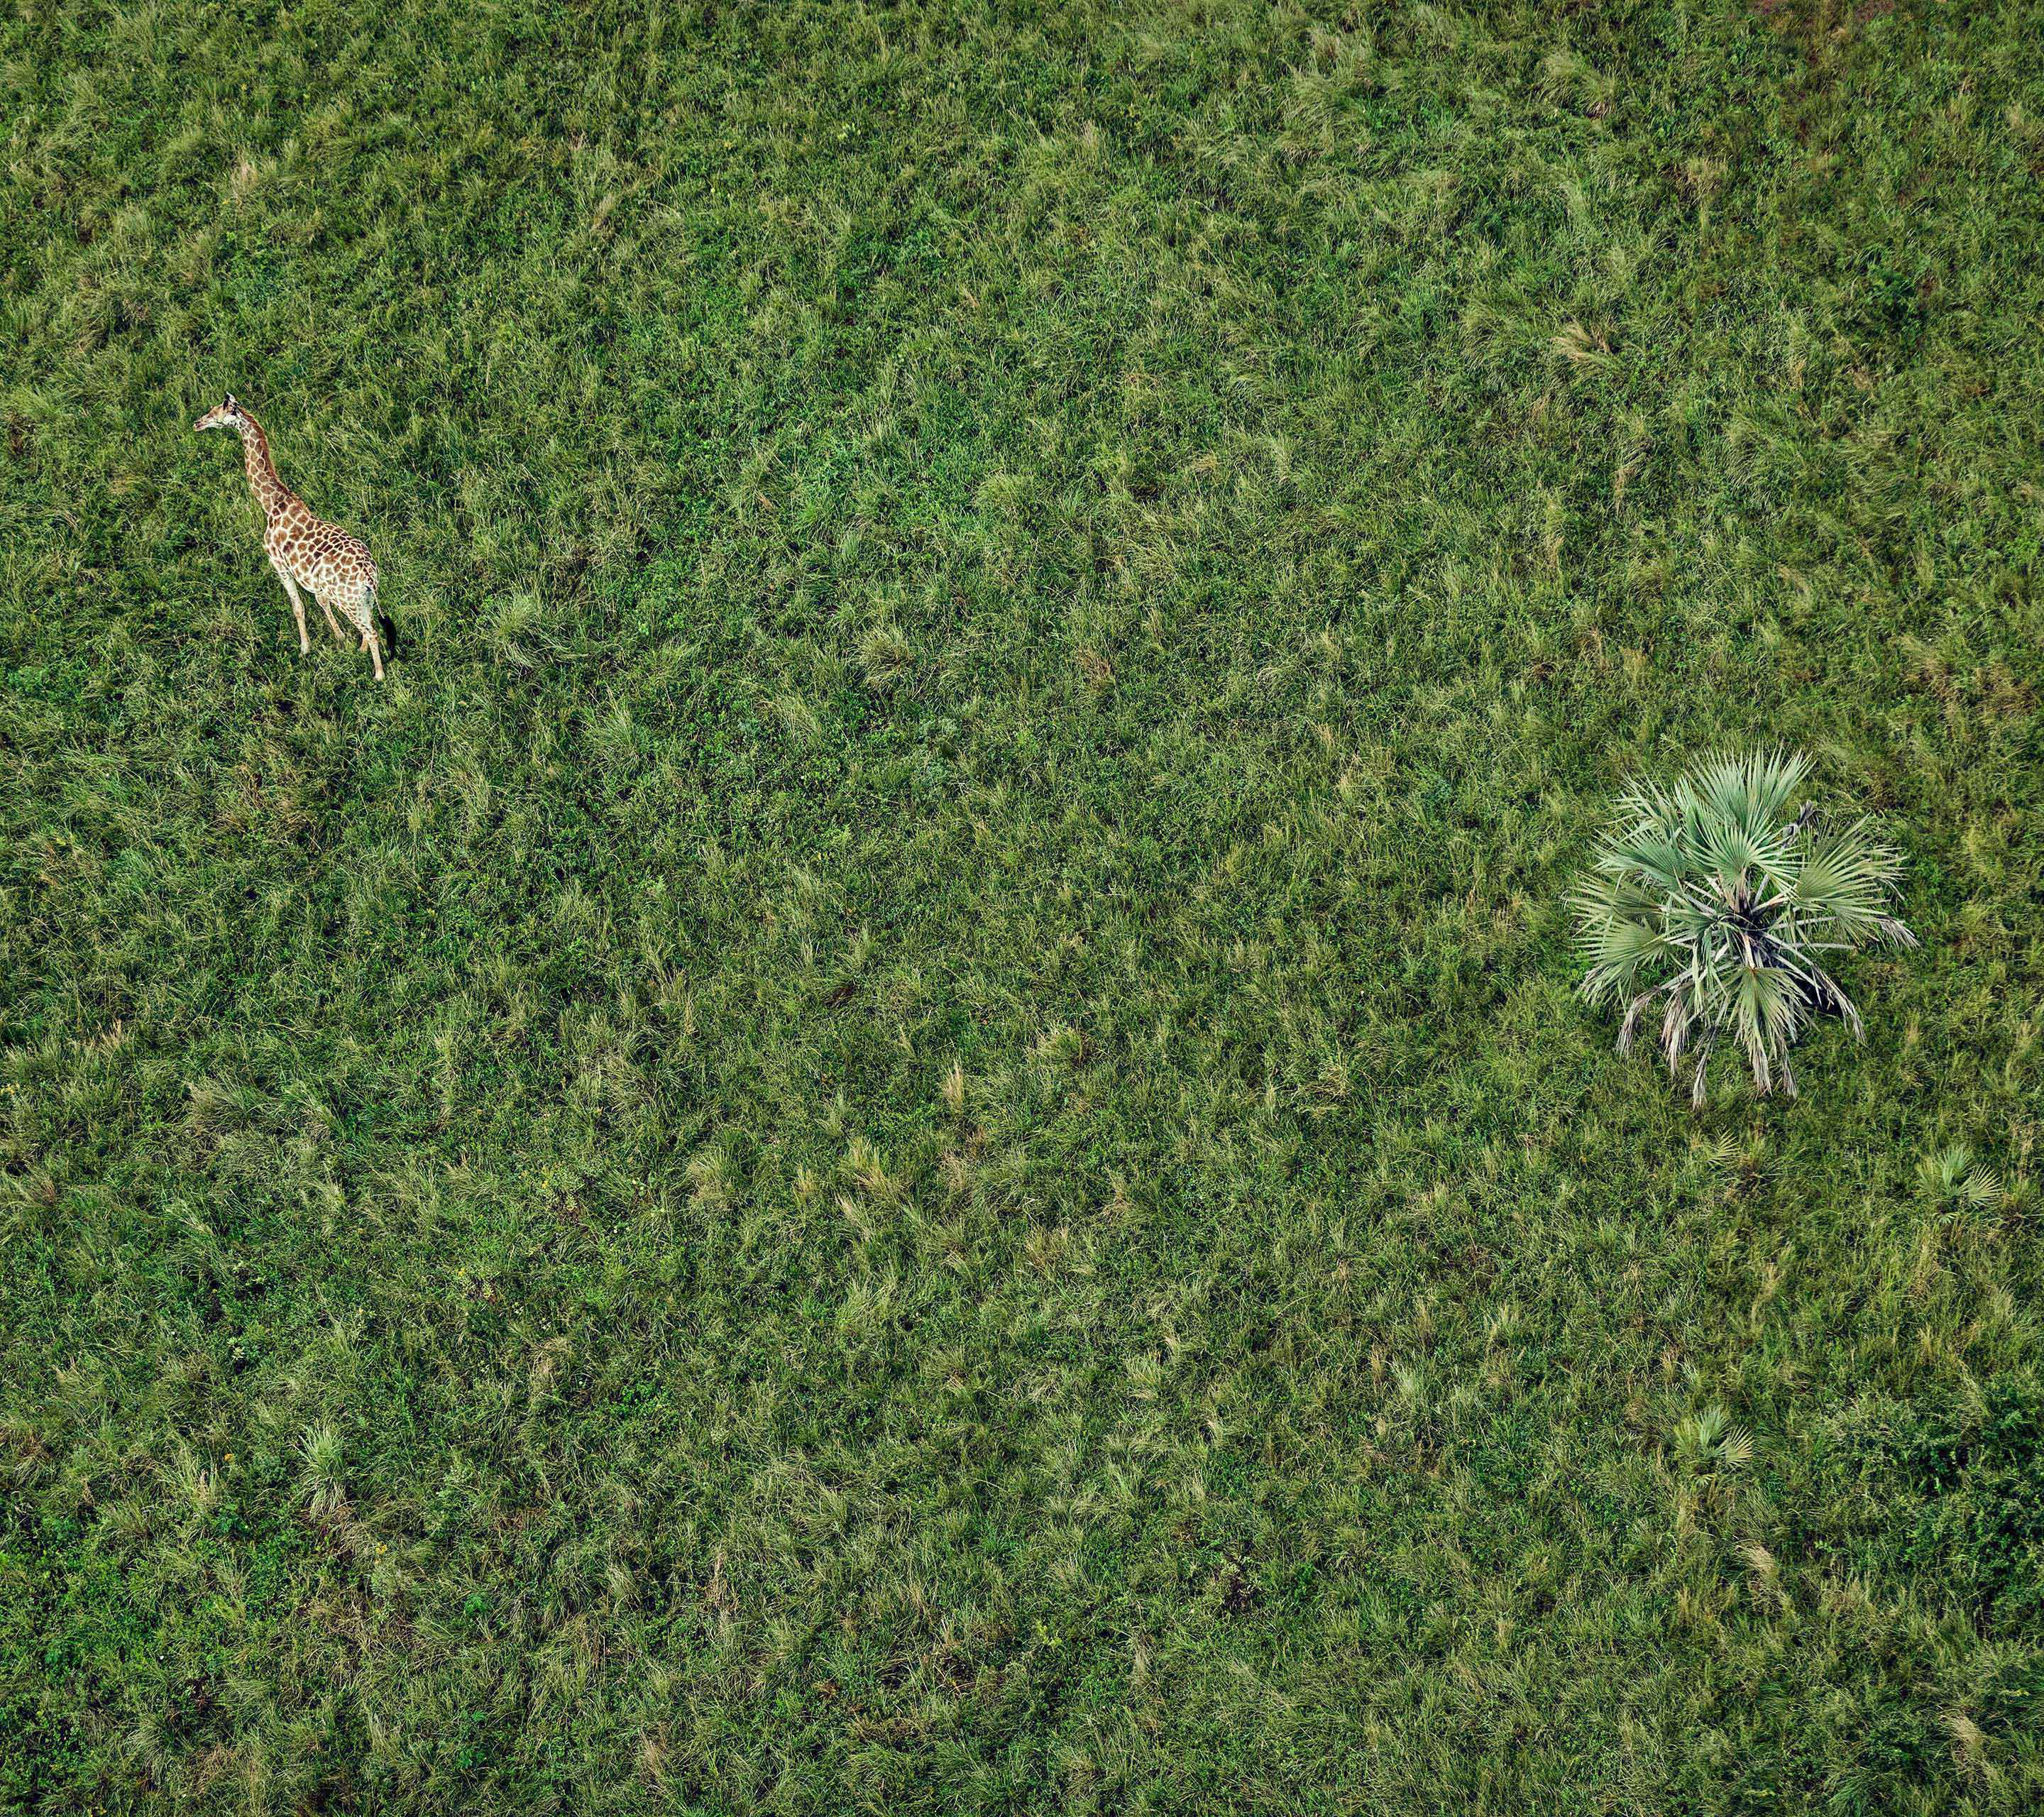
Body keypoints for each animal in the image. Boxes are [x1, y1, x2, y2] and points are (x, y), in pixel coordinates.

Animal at [193, 392, 388, 679]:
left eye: (215, 411)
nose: (197, 423)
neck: (271, 502)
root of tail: (369, 575)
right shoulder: (314, 582)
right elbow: (319, 603)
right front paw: (340, 638)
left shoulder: (279, 565)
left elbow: (298, 607)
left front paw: (305, 648)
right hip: (365, 599)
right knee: (370, 624)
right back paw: (361, 650)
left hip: (349, 601)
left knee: (372, 632)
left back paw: (378, 675)